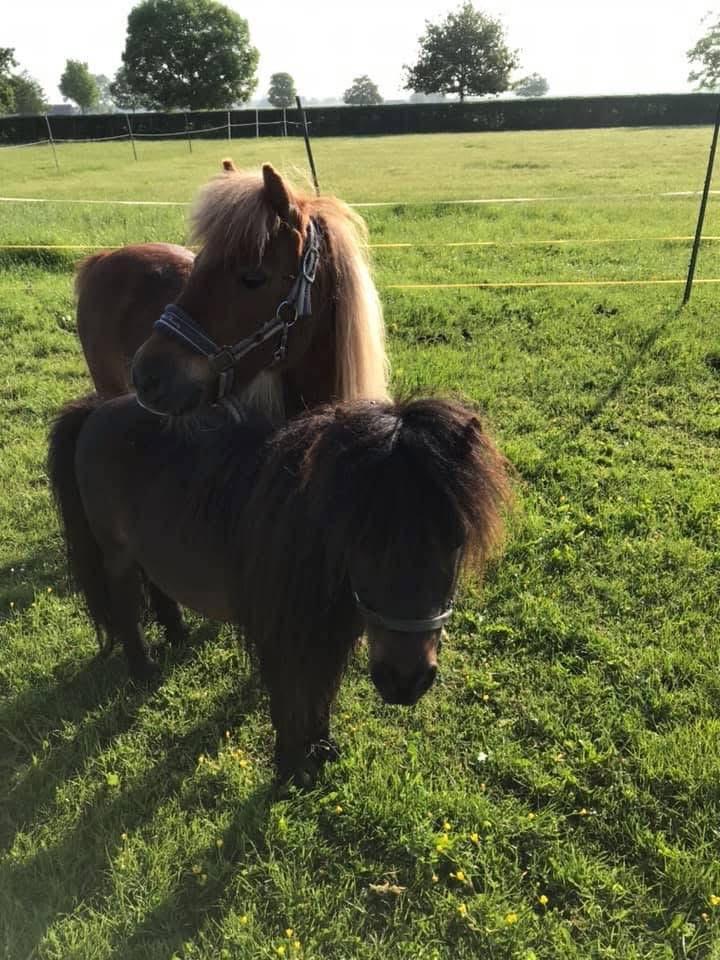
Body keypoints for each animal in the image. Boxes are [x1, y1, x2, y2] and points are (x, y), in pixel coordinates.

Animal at [48, 394, 511, 783]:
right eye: (357, 537)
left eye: (456, 538)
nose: (405, 681)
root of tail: (98, 408)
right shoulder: (278, 635)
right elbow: (288, 697)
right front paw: (290, 765)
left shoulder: (330, 633)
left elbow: (322, 689)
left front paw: (321, 746)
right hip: (117, 553)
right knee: (126, 606)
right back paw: (144, 669)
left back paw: (177, 634)